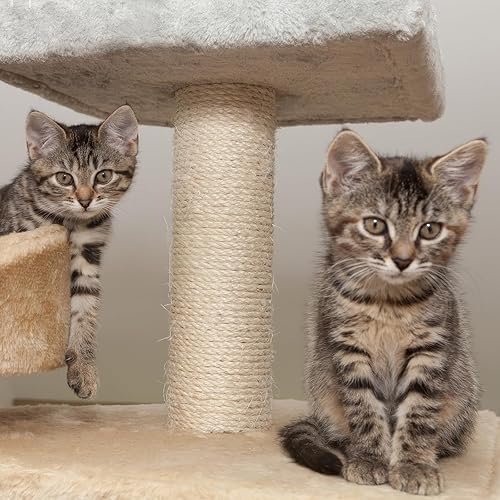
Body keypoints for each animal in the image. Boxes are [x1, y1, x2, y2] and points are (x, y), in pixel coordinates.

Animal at [0, 105, 138, 399]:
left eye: (103, 175)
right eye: (64, 178)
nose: (85, 200)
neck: (71, 223)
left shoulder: (88, 255)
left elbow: (86, 310)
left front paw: (83, 368)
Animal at [280, 129, 487, 495]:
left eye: (430, 229)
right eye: (375, 225)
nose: (403, 259)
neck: (388, 304)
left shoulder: (431, 349)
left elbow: (419, 412)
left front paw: (414, 465)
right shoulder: (347, 348)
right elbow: (363, 406)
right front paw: (369, 458)